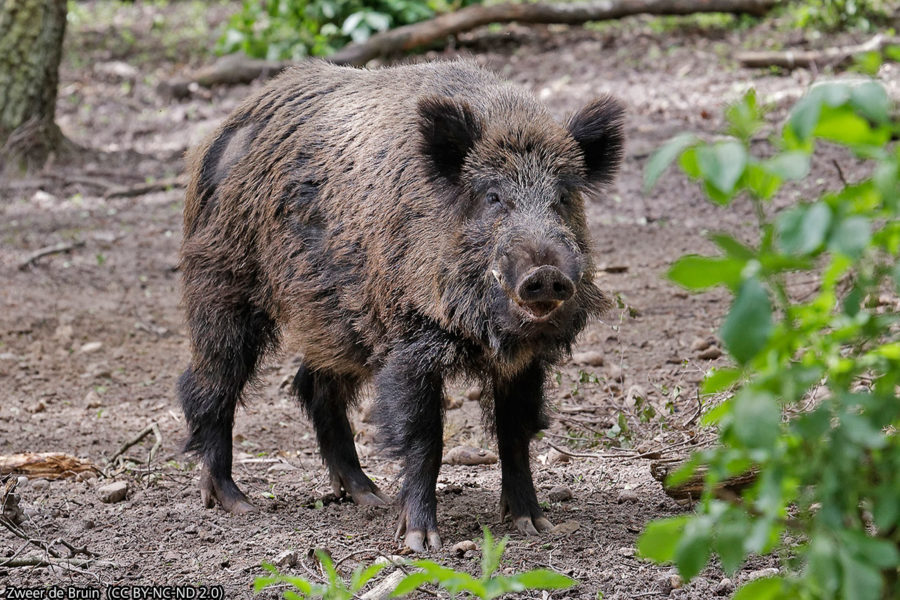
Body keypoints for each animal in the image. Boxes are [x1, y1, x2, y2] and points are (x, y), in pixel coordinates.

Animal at [177, 60, 623, 552]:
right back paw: (235, 502)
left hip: (340, 322)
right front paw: (419, 542)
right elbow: (424, 439)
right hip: (221, 284)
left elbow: (516, 431)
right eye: (492, 197)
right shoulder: (408, 341)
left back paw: (368, 496)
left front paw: (534, 525)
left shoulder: (524, 361)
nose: (544, 273)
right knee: (208, 382)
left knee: (314, 387)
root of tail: (223, 131)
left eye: (562, 197)